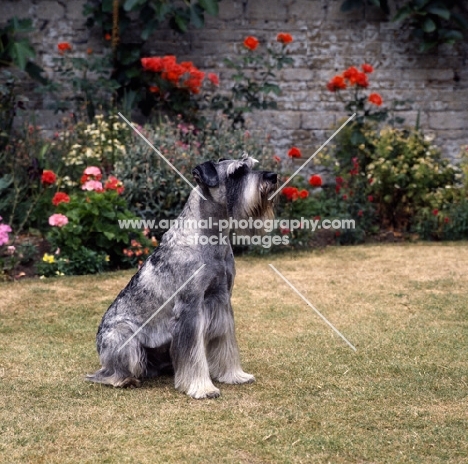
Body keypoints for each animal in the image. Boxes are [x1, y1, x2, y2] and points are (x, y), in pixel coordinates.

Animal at [85, 153, 276, 398]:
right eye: (237, 173)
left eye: (251, 166)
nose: (273, 176)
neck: (211, 237)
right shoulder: (190, 308)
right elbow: (193, 353)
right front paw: (202, 387)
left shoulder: (221, 300)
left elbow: (226, 342)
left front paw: (235, 375)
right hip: (123, 336)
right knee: (108, 373)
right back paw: (125, 379)